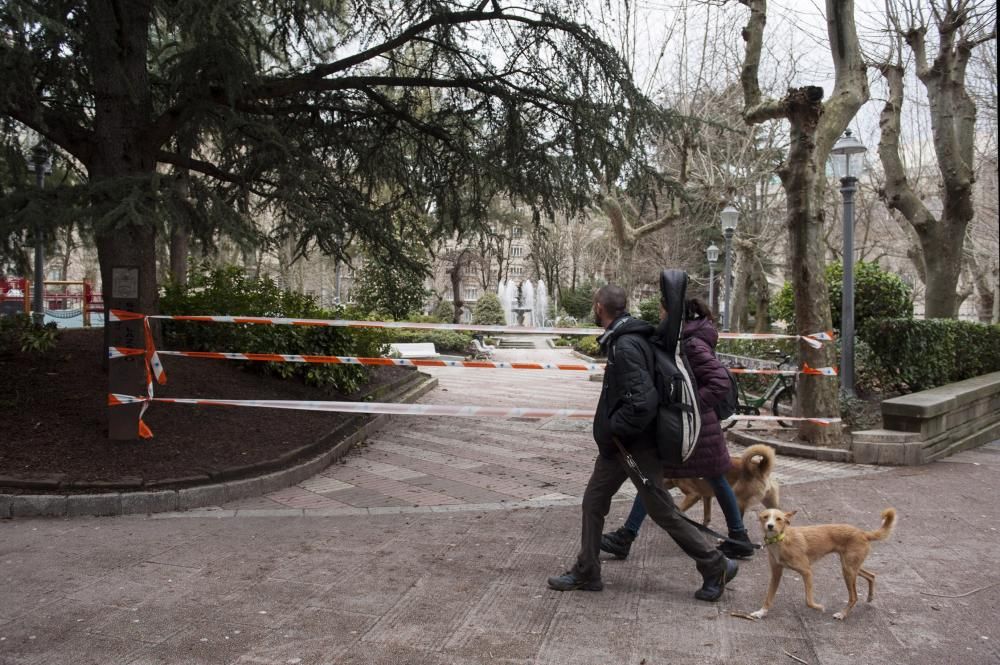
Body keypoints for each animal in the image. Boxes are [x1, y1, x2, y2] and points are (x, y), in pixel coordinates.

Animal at [752, 506, 900, 620]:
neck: (780, 540)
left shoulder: (807, 571)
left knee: (854, 597)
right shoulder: (776, 573)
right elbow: (768, 597)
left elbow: (808, 601)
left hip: (848, 570)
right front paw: (761, 612)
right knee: (872, 575)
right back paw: (869, 597)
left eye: (778, 519)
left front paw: (819, 607)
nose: (770, 526)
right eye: (765, 517)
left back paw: (842, 614)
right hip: (851, 567)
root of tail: (863, 533)